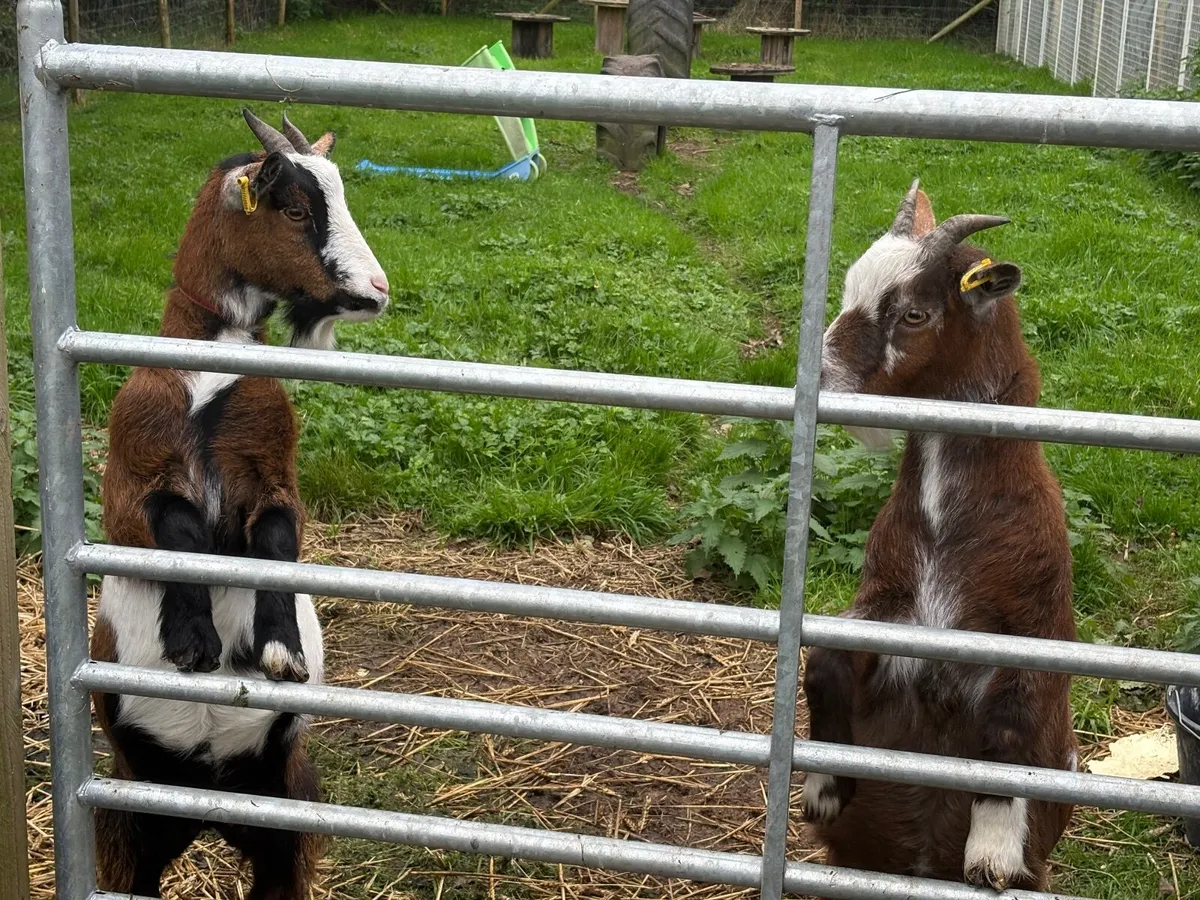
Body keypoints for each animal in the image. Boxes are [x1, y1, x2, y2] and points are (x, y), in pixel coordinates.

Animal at [91, 108, 389, 898]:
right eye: (295, 208)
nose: (377, 290)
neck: (210, 374)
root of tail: (207, 807)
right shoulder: (128, 485)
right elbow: (179, 525)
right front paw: (192, 642)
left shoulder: (275, 474)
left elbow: (278, 540)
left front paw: (280, 650)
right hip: (133, 821)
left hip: (282, 814)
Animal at [800, 181, 1077, 892]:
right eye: (847, 290)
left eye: (915, 314)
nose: (817, 381)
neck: (948, 533)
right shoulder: (887, 609)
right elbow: (825, 662)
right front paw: (823, 789)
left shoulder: (1030, 632)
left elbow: (1009, 730)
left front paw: (994, 853)